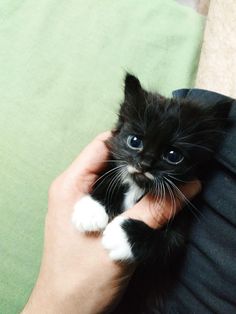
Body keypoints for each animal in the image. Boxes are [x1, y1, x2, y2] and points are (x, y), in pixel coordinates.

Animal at [72, 73, 230, 312]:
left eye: (173, 156)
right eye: (135, 141)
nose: (145, 164)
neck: (141, 186)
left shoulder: (183, 219)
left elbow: (171, 244)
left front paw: (123, 236)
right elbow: (107, 178)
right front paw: (90, 209)